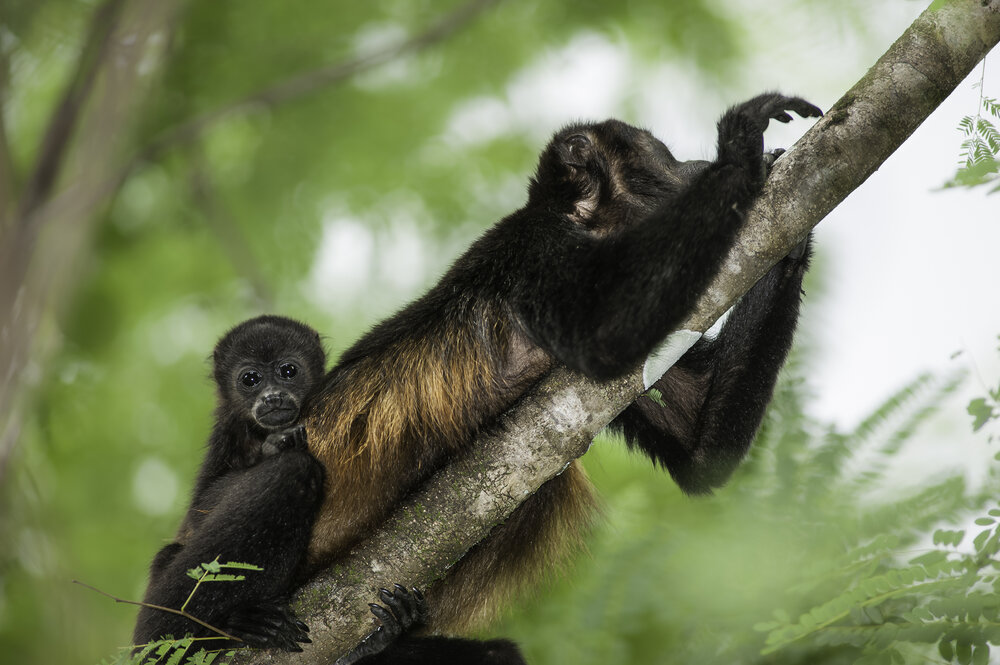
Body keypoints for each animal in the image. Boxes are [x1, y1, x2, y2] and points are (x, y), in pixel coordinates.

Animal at [295, 92, 822, 640]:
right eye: (667, 156)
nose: (698, 165)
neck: (585, 222)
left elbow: (701, 453)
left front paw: (792, 234)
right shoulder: (536, 246)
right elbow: (602, 333)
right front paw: (741, 148)